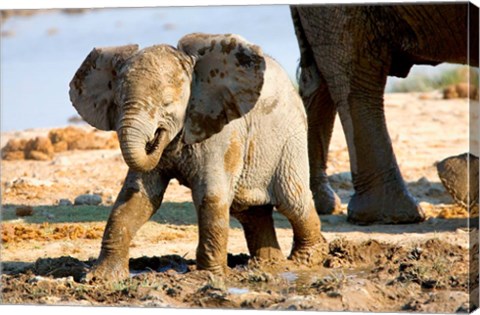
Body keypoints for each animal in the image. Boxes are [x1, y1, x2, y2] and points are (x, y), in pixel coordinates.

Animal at [70, 33, 326, 282]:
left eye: (167, 104)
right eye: (117, 102)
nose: (155, 138)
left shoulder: (221, 131)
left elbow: (211, 195)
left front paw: (207, 276)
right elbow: (137, 198)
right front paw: (99, 278)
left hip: (289, 139)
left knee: (292, 201)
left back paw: (305, 260)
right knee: (250, 211)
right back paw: (269, 265)